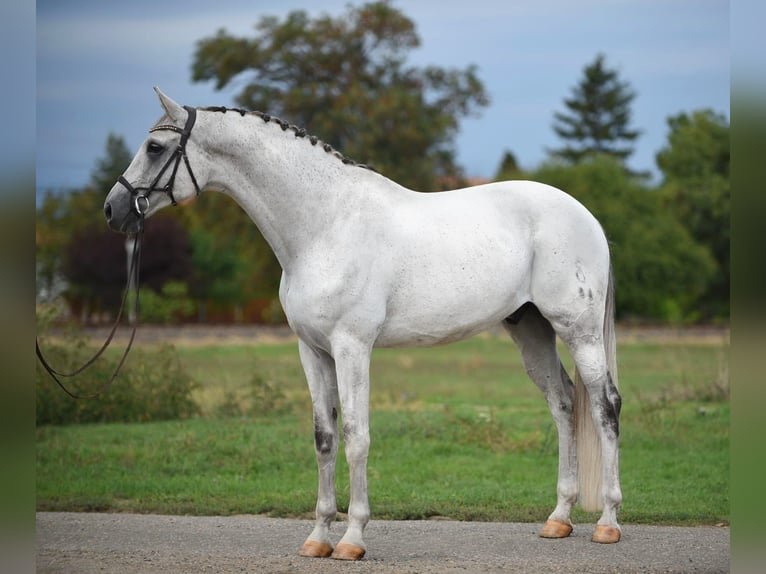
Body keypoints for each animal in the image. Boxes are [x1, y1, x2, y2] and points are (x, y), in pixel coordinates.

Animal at [103, 90, 624, 564]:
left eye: (155, 147)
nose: (113, 209)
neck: (325, 225)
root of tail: (587, 217)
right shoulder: (312, 350)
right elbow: (325, 438)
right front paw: (318, 538)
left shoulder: (352, 347)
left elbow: (357, 435)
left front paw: (353, 539)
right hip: (530, 328)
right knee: (563, 404)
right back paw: (558, 519)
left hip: (578, 330)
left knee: (605, 406)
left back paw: (607, 523)